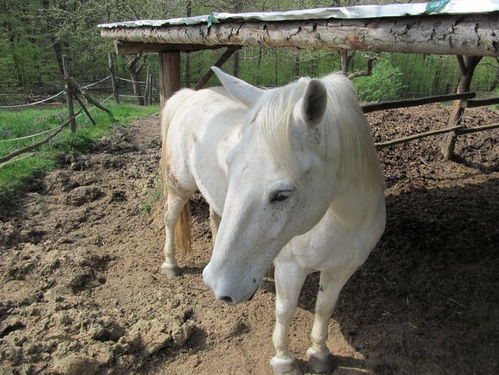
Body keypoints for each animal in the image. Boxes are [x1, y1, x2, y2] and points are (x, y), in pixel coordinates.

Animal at [160, 68, 386, 375]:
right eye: (231, 165)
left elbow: (325, 308)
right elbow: (285, 310)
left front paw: (319, 352)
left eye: (282, 195)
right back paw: (170, 264)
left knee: (215, 217)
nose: (217, 285)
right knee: (171, 218)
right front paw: (284, 359)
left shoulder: (343, 268)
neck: (345, 221)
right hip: (180, 186)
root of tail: (190, 95)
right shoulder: (290, 267)